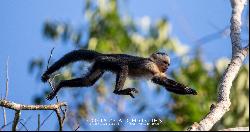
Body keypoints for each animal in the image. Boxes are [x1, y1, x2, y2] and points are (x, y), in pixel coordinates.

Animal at [41, 49, 197, 100]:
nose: (168, 67)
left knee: (88, 81)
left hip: (100, 65)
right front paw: (186, 88)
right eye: (165, 62)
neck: (154, 63)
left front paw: (188, 90)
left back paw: (61, 85)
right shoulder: (151, 66)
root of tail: (103, 54)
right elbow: (158, 79)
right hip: (109, 61)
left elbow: (166, 85)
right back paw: (118, 91)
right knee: (123, 66)